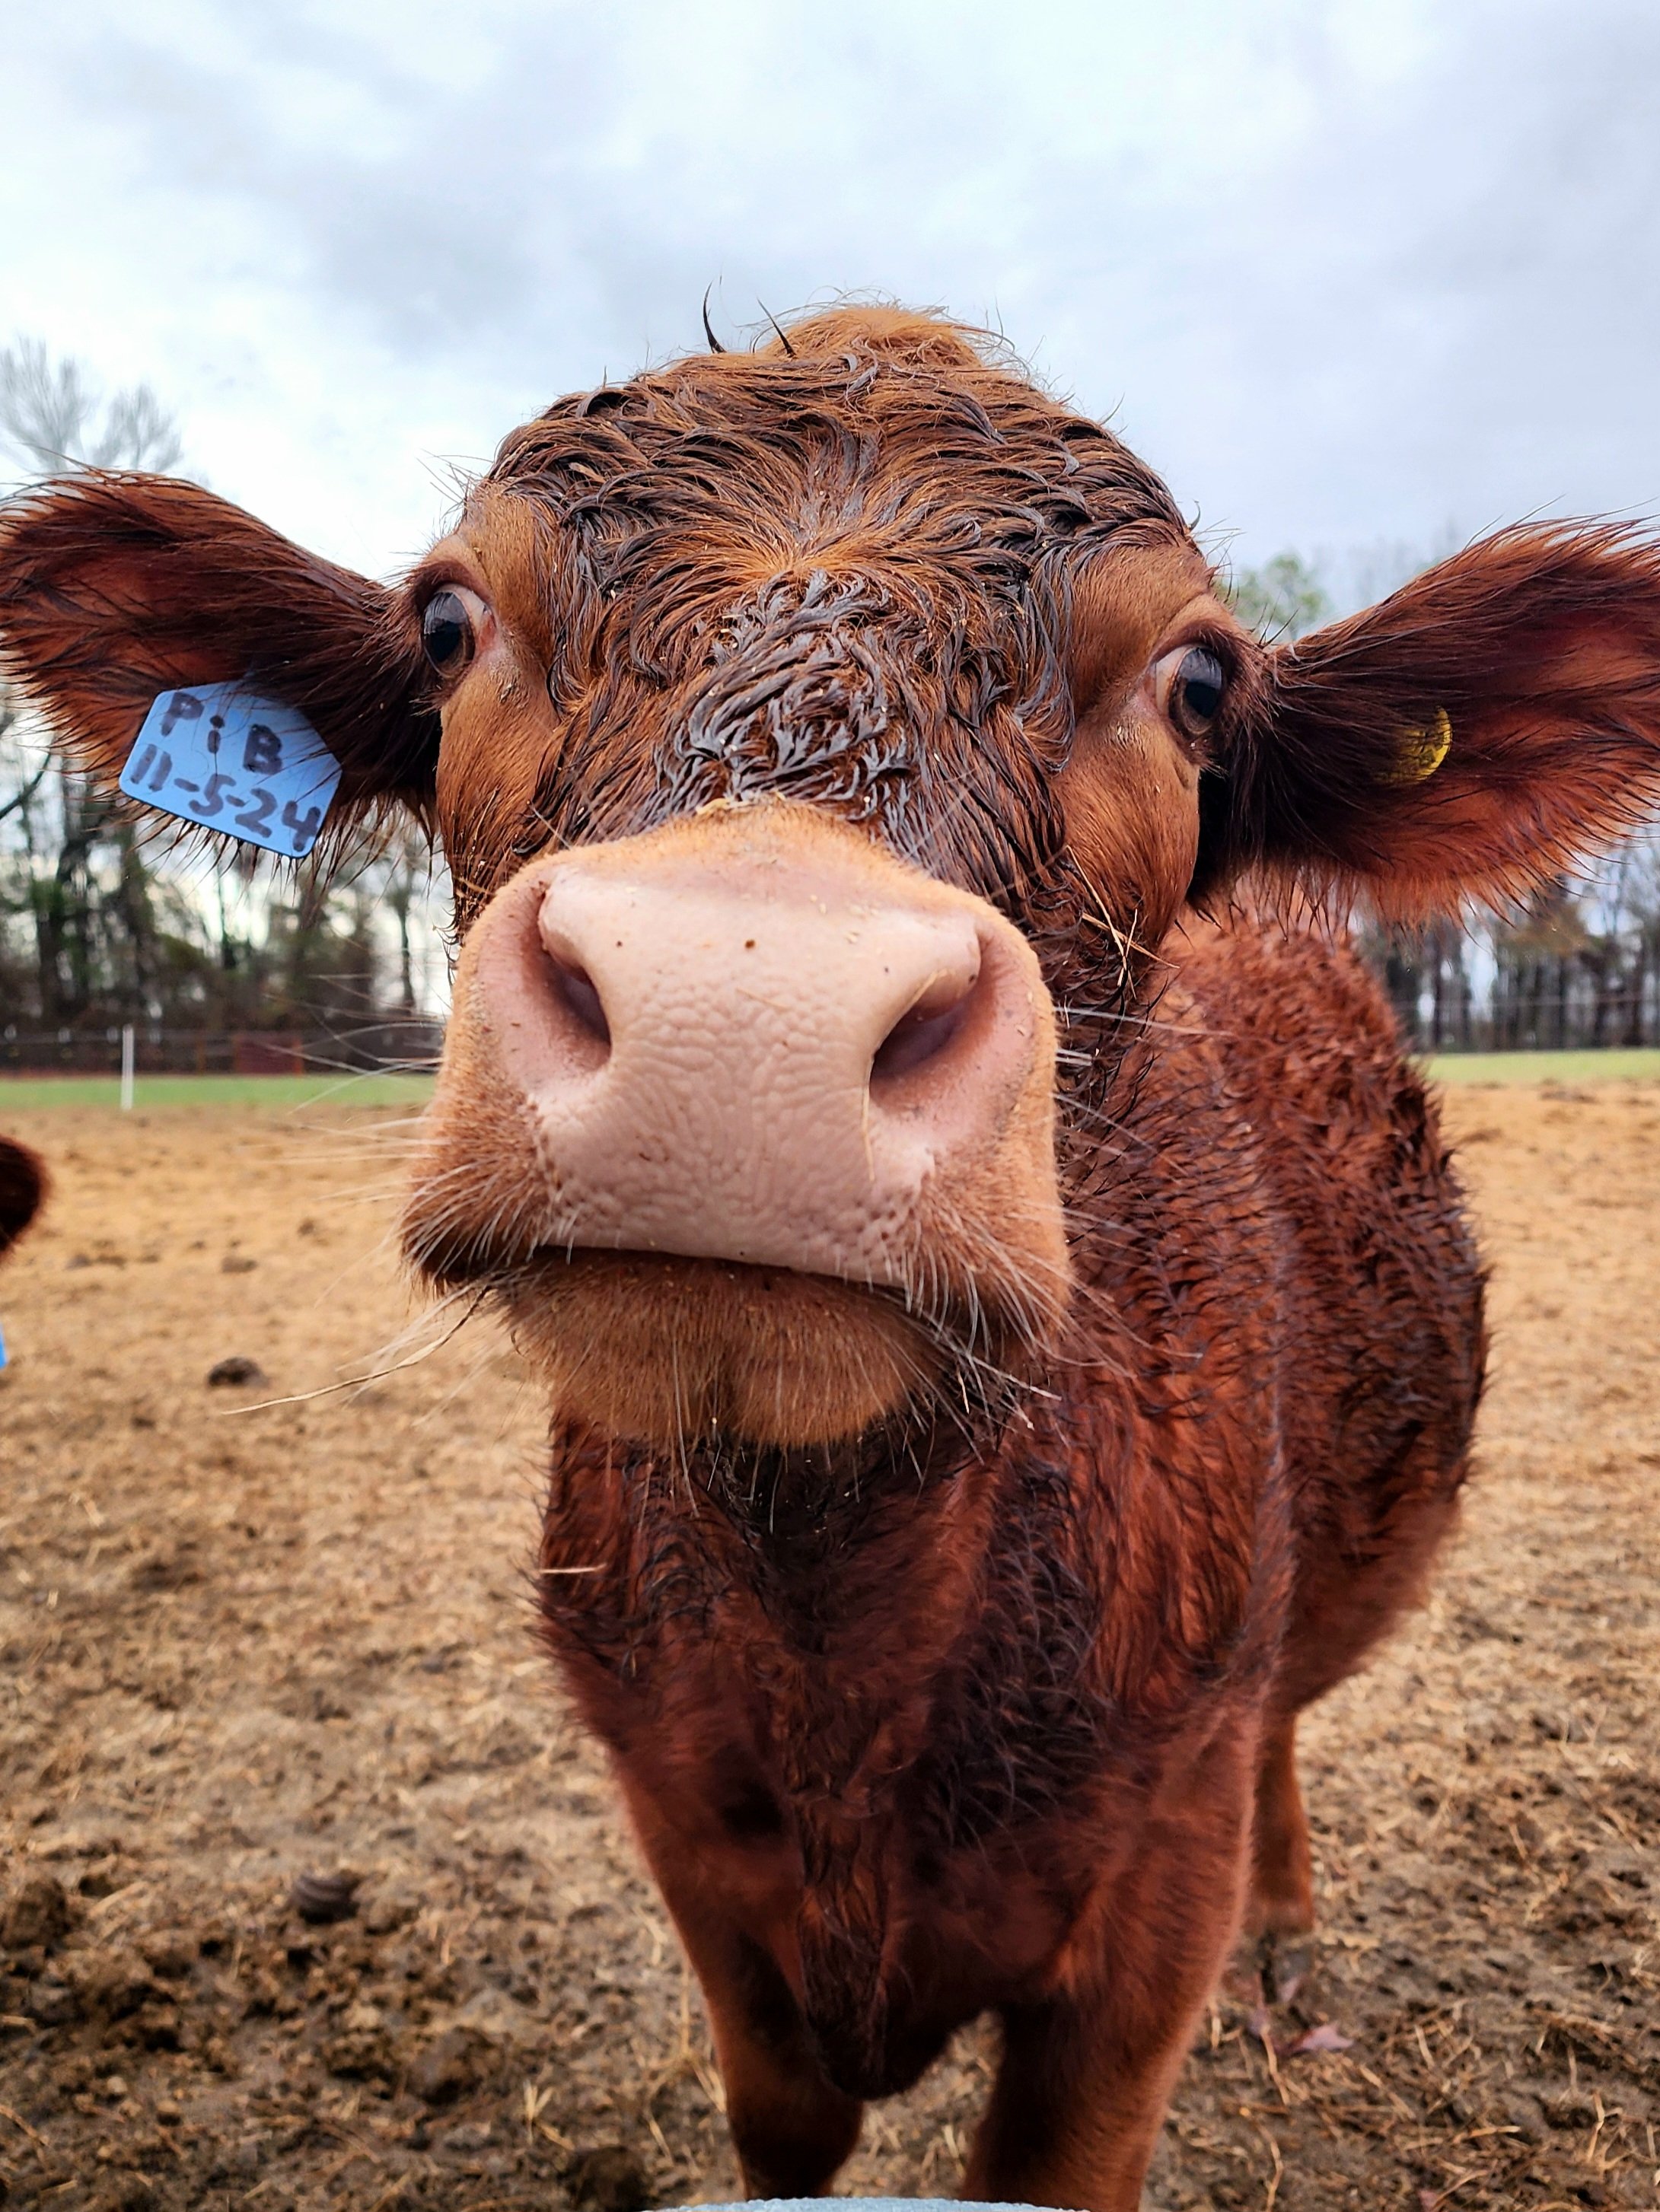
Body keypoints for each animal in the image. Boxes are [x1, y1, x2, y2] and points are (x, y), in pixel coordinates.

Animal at [2, 306, 1658, 2210]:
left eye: (1195, 684)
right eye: (445, 623)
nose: (742, 999)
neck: (840, 1641)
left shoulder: (1144, 1905)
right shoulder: (699, 1870)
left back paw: (1289, 1946)